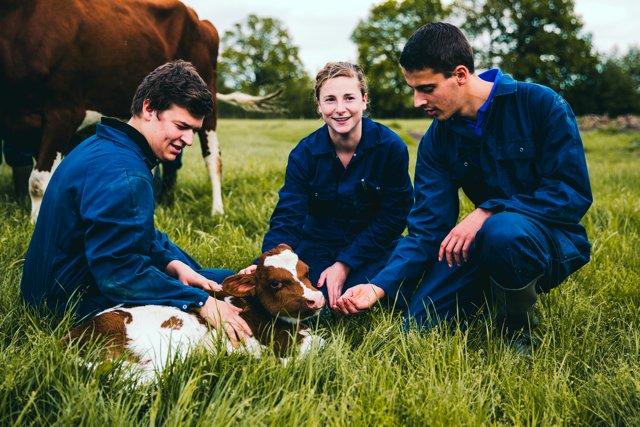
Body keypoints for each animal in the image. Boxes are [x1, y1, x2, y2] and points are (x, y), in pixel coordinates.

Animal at [0, 0, 282, 221]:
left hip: (207, 102)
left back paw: (217, 211)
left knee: (213, 158)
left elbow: (39, 183)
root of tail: (199, 18)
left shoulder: (64, 111)